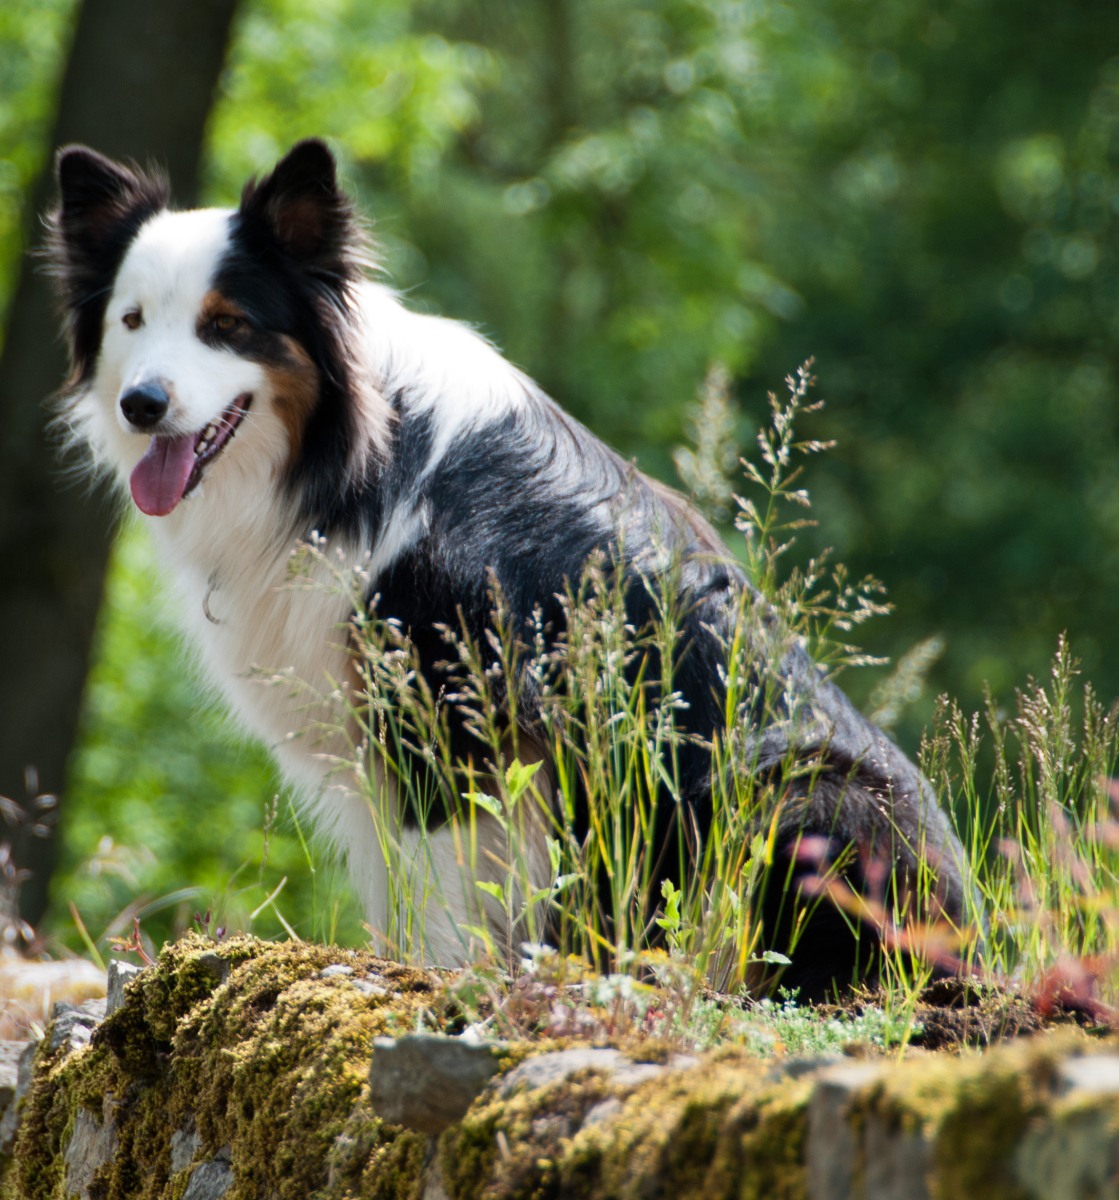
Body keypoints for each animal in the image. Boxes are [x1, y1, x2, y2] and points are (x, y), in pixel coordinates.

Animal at [45, 138, 970, 993]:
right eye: (131, 321)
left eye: (225, 325)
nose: (141, 404)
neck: (345, 458)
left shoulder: (444, 714)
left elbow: (435, 893)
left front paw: (432, 980)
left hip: (802, 794)